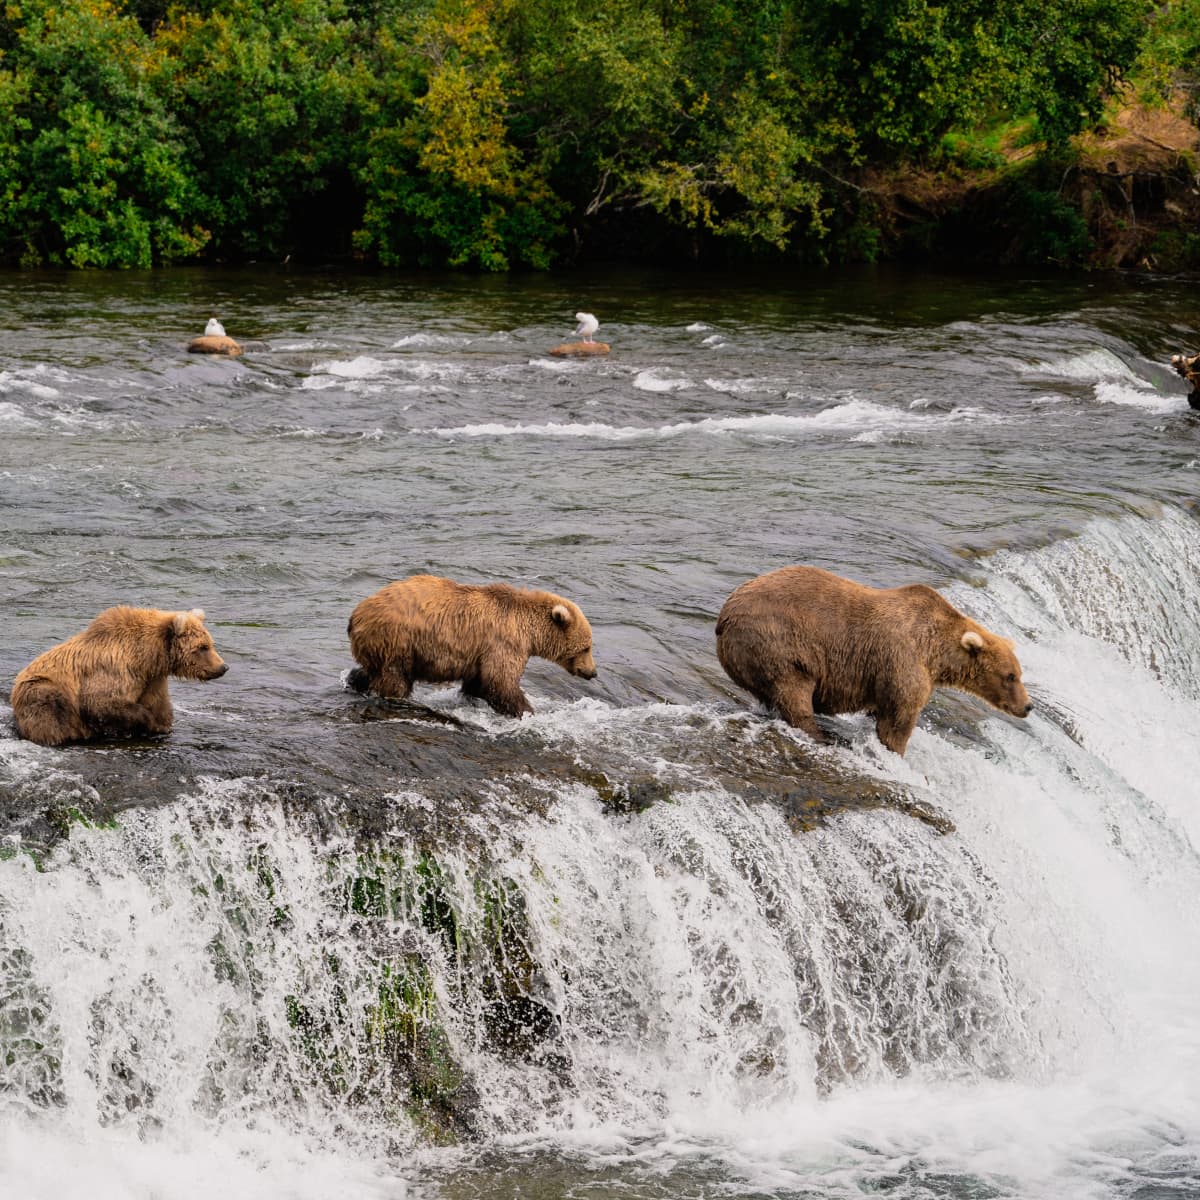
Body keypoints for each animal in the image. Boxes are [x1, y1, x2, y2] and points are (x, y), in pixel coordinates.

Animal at [12, 604, 226, 744]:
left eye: (210, 643)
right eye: (203, 647)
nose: (223, 667)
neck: (149, 656)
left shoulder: (152, 679)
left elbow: (160, 708)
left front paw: (159, 726)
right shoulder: (114, 669)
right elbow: (101, 702)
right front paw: (145, 721)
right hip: (41, 688)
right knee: (49, 709)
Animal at [348, 576, 595, 715]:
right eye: (586, 648)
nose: (592, 672)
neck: (529, 630)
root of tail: (357, 614)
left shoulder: (481, 653)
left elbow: (479, 682)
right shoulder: (504, 643)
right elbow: (501, 681)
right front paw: (526, 711)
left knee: (372, 671)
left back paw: (355, 681)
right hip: (398, 641)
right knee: (395, 679)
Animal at [710, 566, 1032, 753]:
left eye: (1018, 673)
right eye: (1010, 676)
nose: (1027, 706)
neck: (937, 654)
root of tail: (724, 614)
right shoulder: (903, 661)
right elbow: (898, 719)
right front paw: (896, 751)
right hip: (779, 642)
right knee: (793, 690)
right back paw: (820, 735)